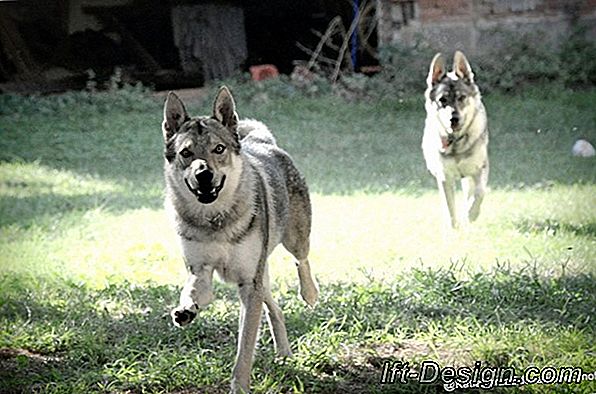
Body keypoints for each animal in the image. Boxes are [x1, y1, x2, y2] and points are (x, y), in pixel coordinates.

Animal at [420, 50, 488, 228]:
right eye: (442, 100)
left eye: (461, 97)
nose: (454, 119)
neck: (457, 143)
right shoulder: (445, 177)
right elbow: (450, 208)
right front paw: (454, 229)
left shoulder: (479, 169)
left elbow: (480, 192)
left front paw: (471, 215)